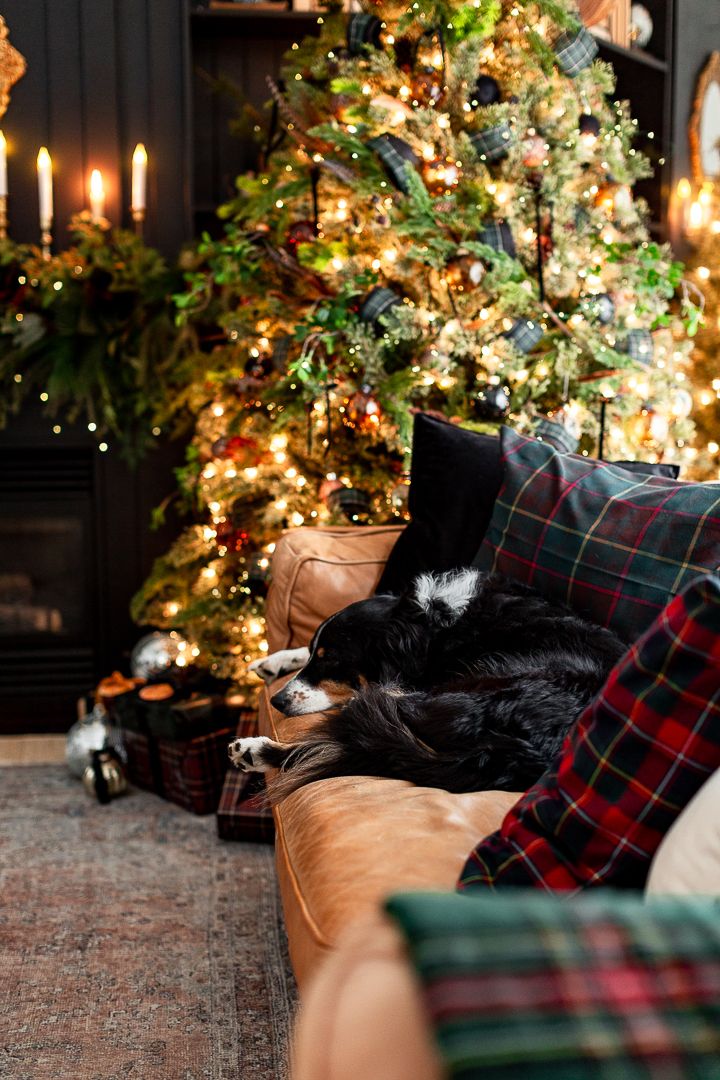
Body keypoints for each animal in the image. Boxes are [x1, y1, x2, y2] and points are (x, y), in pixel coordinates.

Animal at [231, 570, 626, 799]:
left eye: (334, 660)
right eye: (320, 653)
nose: (277, 702)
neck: (428, 627)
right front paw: (277, 660)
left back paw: (255, 750)